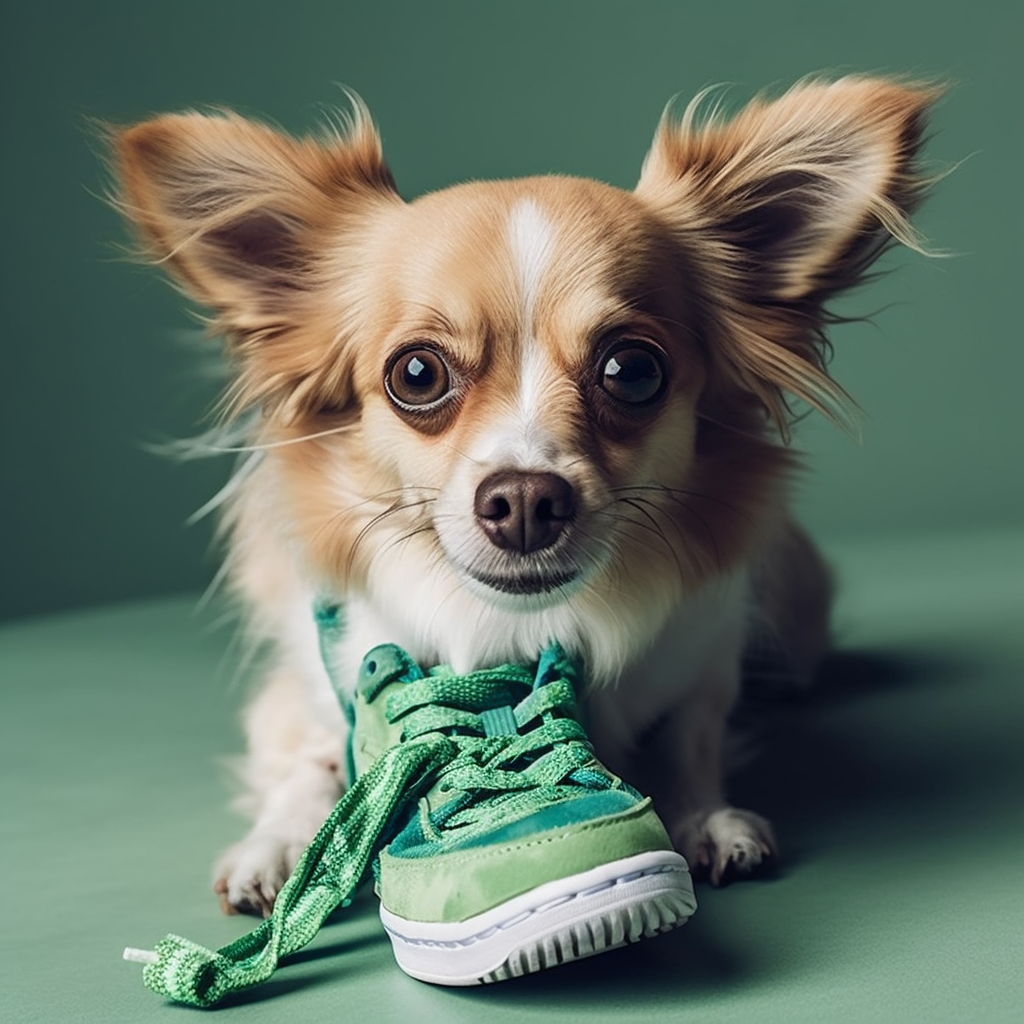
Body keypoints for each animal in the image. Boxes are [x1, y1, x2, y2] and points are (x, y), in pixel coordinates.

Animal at [110, 77, 937, 913]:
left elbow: (692, 734)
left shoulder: (710, 654)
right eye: (417, 374)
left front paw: (705, 814)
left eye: (633, 371)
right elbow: (308, 762)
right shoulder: (299, 688)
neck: (516, 628)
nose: (526, 500)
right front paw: (282, 842)